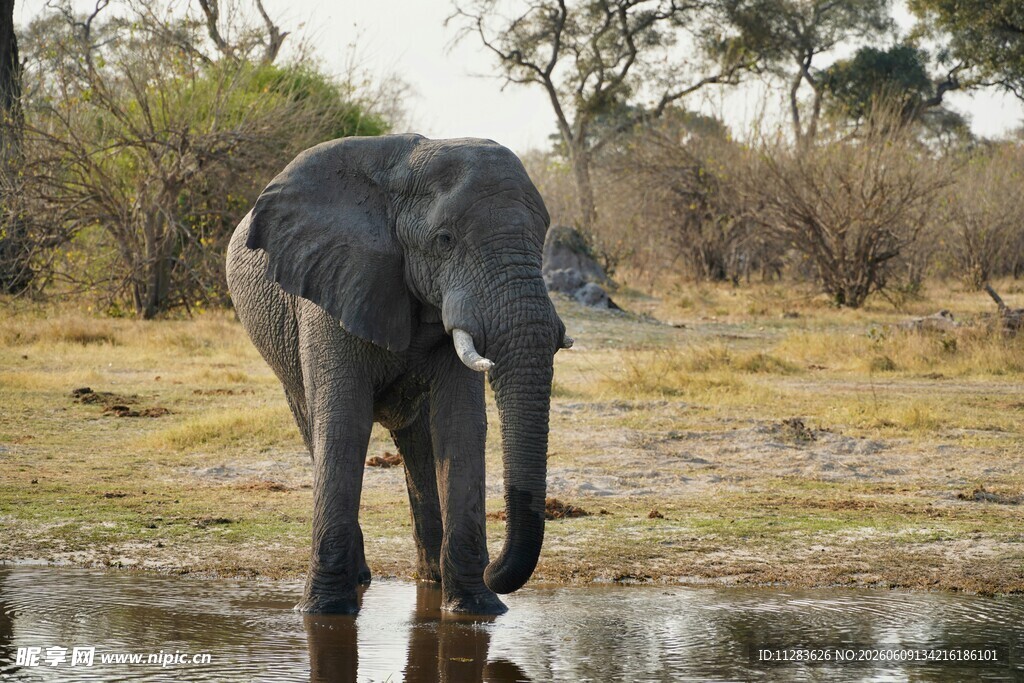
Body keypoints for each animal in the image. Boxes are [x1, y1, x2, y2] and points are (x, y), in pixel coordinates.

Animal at [225, 134, 571, 615]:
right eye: (444, 240)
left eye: (542, 241)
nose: (494, 570)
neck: (403, 173)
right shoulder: (331, 285)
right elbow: (343, 422)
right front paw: (324, 612)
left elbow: (460, 425)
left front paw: (476, 609)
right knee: (315, 426)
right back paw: (364, 579)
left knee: (420, 442)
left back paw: (432, 579)